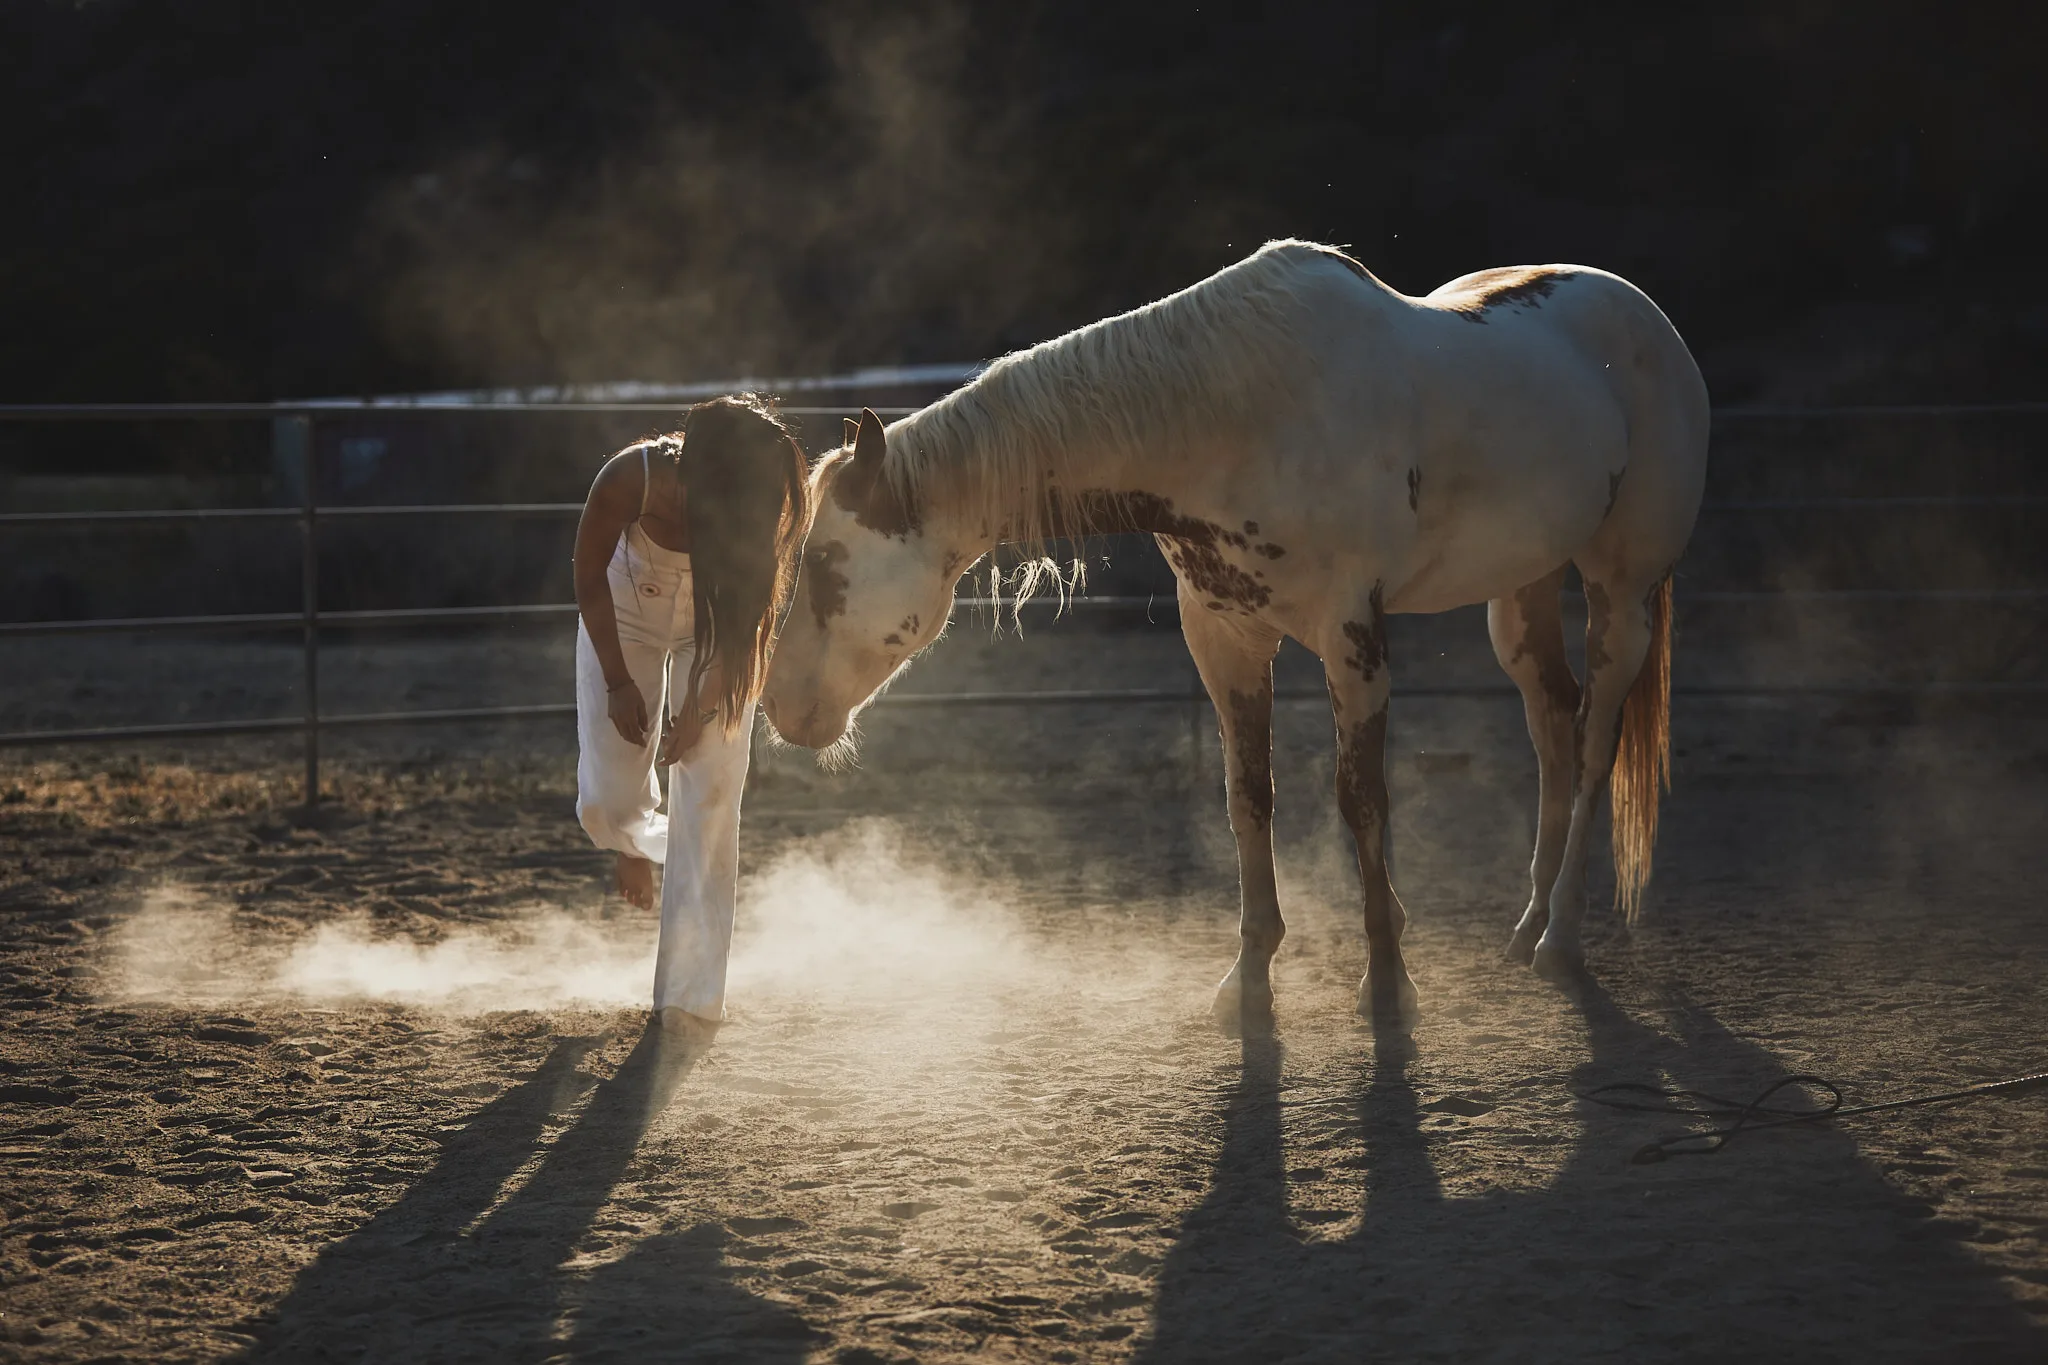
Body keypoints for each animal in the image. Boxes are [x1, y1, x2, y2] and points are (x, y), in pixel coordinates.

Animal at [761, 239, 1708, 1035]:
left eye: (826, 564)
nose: (780, 709)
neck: (1237, 414)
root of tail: (1646, 318)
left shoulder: (1352, 636)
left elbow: (1361, 796)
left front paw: (1388, 982)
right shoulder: (1224, 637)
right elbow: (1246, 796)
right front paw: (1249, 982)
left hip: (1621, 593)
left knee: (1594, 742)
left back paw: (1560, 940)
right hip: (1521, 593)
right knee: (1552, 729)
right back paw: (1529, 921)